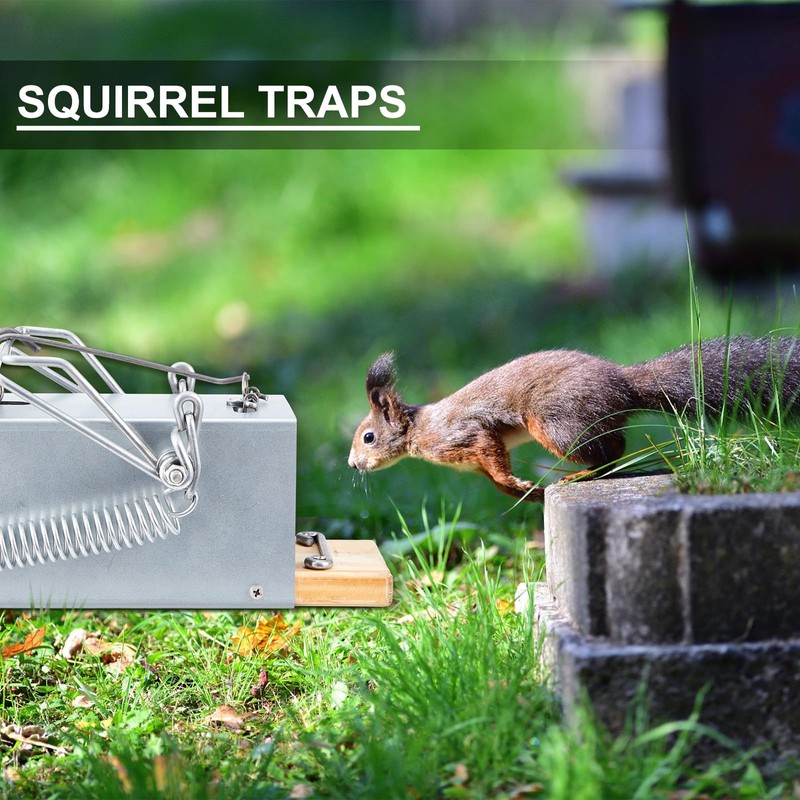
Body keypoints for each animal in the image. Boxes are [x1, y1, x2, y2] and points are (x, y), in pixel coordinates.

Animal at [348, 337, 800, 502]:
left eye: (368, 437)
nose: (353, 465)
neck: (419, 431)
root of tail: (623, 384)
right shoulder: (473, 461)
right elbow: (492, 477)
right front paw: (521, 492)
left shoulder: (465, 434)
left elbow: (491, 453)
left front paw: (517, 484)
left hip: (555, 422)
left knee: (611, 450)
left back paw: (580, 476)